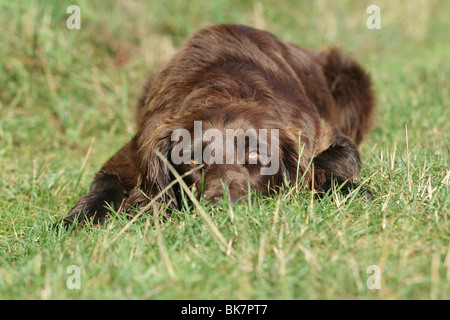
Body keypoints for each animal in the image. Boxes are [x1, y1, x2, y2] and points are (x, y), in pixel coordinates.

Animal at [58, 23, 374, 226]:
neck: (226, 89)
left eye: (256, 154)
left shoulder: (322, 134)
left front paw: (352, 192)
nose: (226, 208)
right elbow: (105, 186)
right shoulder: (134, 152)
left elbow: (324, 164)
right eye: (191, 160)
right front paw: (73, 222)